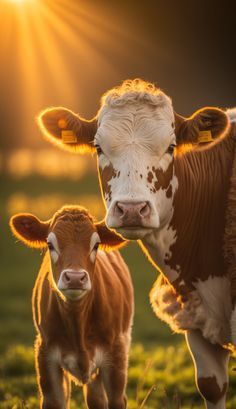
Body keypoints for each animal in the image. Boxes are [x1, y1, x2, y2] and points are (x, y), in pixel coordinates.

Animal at [10, 206, 134, 408]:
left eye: (96, 245)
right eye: (50, 244)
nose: (75, 278)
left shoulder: (116, 356)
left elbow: (116, 400)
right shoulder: (45, 354)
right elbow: (55, 401)